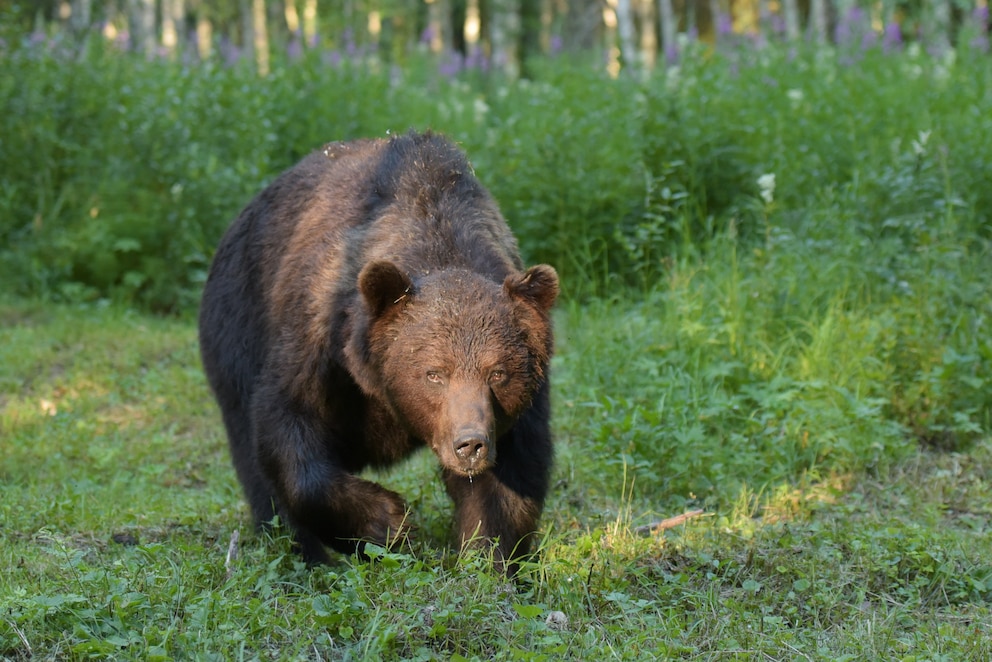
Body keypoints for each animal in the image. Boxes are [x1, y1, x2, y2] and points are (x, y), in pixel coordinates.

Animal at [198, 130, 560, 572]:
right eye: (434, 373)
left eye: (498, 373)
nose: (469, 443)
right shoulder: (321, 333)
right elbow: (288, 430)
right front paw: (387, 521)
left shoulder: (518, 401)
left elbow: (509, 479)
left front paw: (488, 559)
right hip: (237, 324)